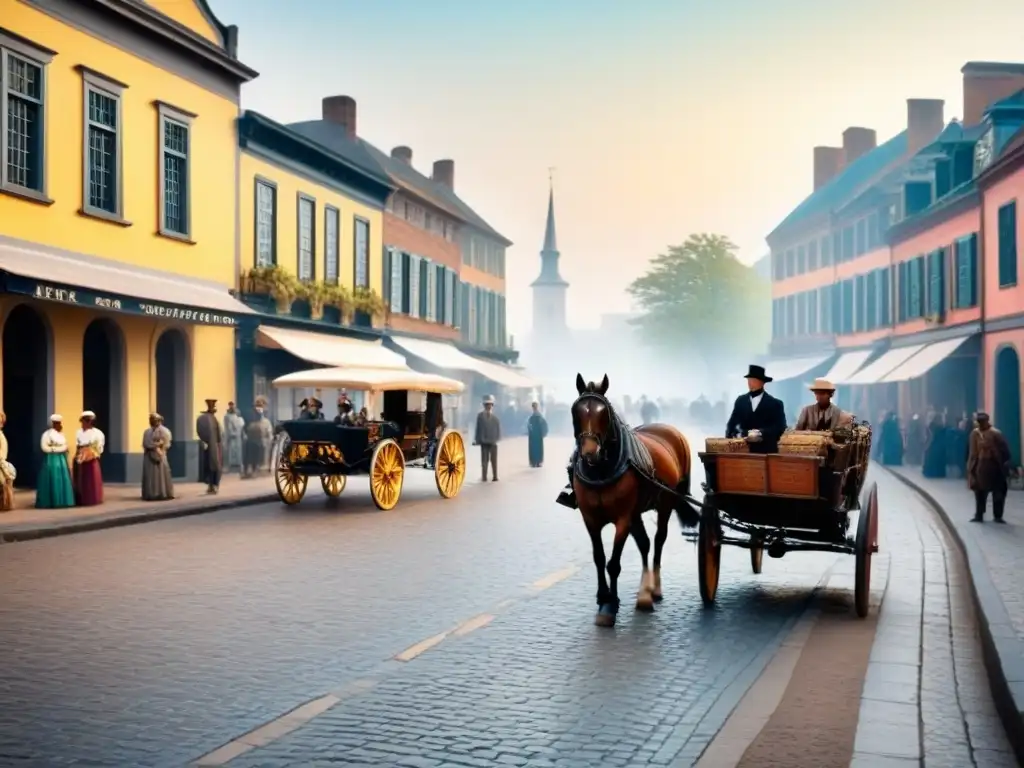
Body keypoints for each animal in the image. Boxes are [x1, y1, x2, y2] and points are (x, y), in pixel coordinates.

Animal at [569, 374, 704, 630]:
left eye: (604, 413)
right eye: (576, 411)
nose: (590, 453)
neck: (602, 471)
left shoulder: (623, 518)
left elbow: (613, 563)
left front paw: (610, 605)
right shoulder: (590, 518)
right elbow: (599, 557)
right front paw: (603, 597)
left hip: (665, 503)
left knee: (659, 540)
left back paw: (654, 589)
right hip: (637, 512)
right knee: (644, 543)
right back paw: (645, 592)